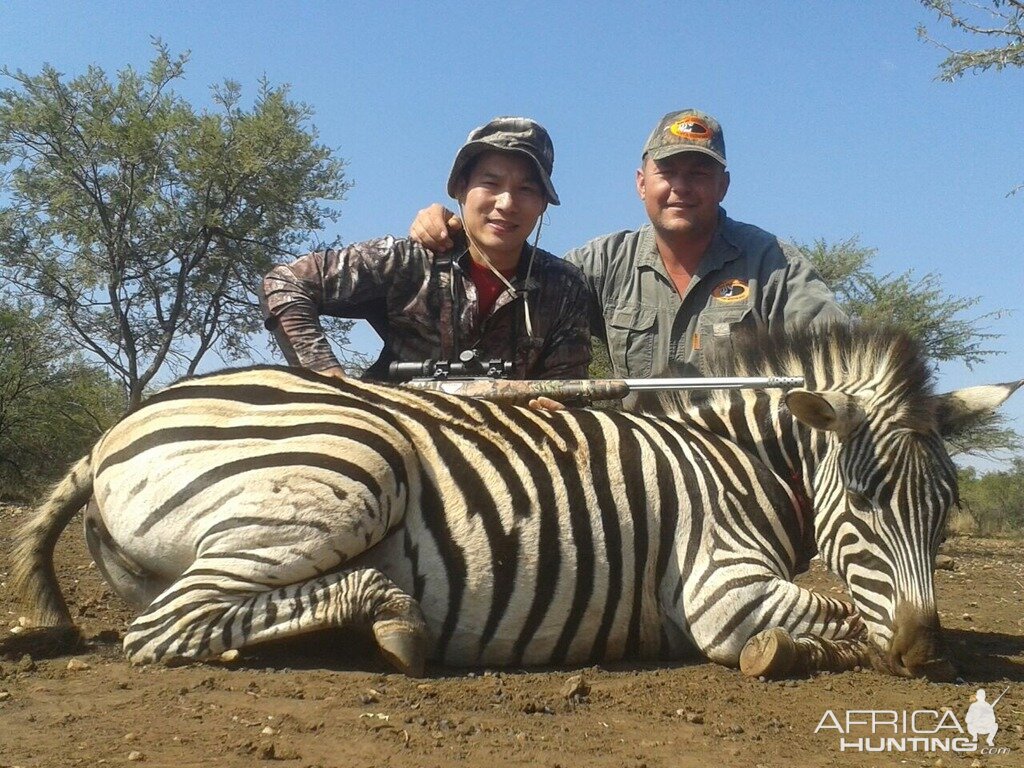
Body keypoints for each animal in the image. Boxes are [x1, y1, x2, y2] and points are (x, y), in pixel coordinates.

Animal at [4, 325, 1019, 679]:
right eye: (864, 503)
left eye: (946, 509)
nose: (925, 653)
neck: (730, 459)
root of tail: (109, 438)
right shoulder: (719, 588)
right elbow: (830, 618)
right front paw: (786, 652)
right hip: (349, 467)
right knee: (165, 630)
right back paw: (389, 618)